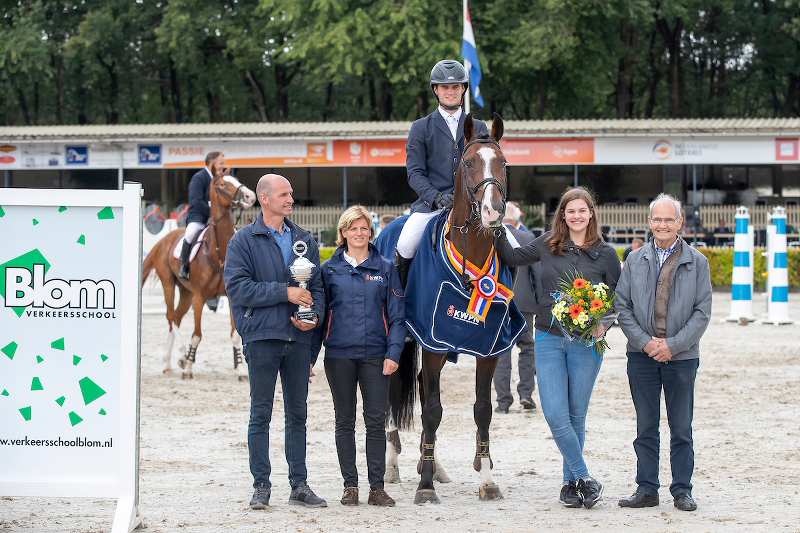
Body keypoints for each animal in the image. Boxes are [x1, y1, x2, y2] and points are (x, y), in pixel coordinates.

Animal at [141, 174, 256, 380]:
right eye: (222, 184)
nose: (249, 196)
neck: (218, 253)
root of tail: (163, 240)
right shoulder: (200, 297)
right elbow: (196, 335)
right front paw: (188, 369)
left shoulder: (231, 297)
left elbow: (235, 335)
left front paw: (242, 371)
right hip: (169, 284)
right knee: (171, 316)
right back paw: (180, 356)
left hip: (186, 293)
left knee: (176, 317)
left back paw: (170, 362)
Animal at [379, 113, 525, 504]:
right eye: (469, 162)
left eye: (503, 162)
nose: (493, 211)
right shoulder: (432, 343)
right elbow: (432, 410)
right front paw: (425, 487)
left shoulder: (489, 347)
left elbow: (483, 409)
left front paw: (487, 478)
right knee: (391, 392)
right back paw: (393, 466)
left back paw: (429, 464)